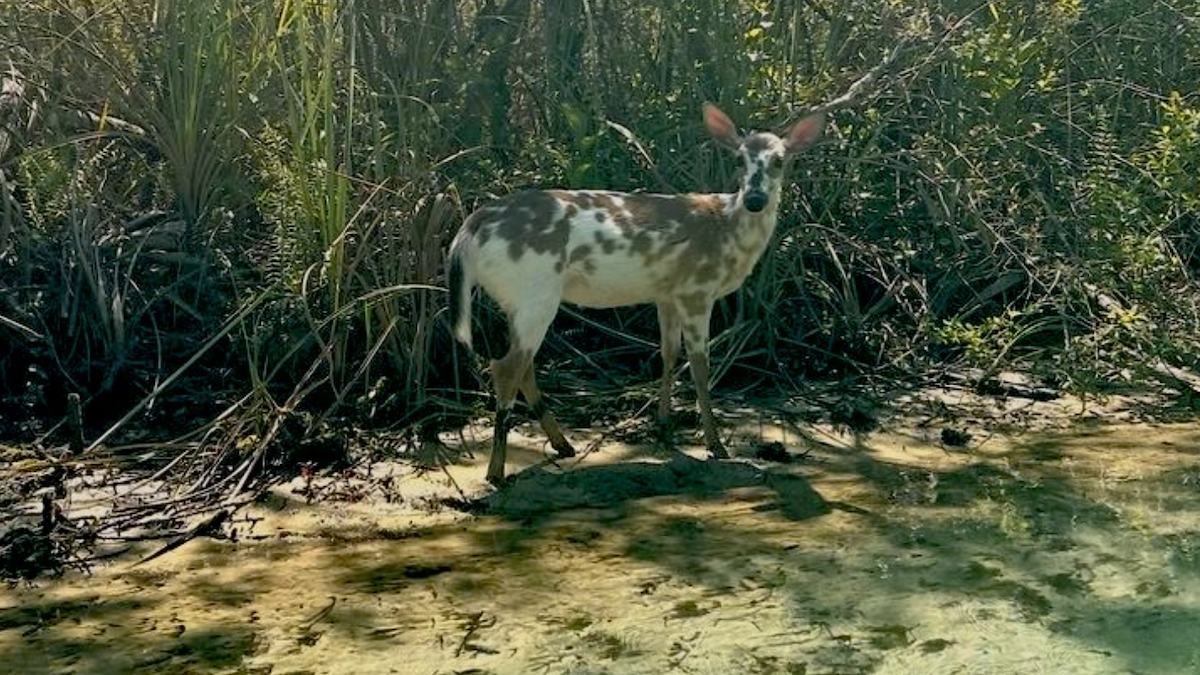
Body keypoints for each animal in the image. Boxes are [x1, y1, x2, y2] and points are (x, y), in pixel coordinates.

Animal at [448, 102, 825, 484]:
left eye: (780, 160)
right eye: (738, 159)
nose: (755, 199)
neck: (727, 231)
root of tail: (469, 230)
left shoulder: (667, 294)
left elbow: (668, 355)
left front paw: (664, 428)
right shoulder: (697, 290)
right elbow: (701, 366)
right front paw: (715, 445)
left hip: (518, 299)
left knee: (522, 367)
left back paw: (562, 444)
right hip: (535, 291)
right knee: (505, 367)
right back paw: (497, 471)